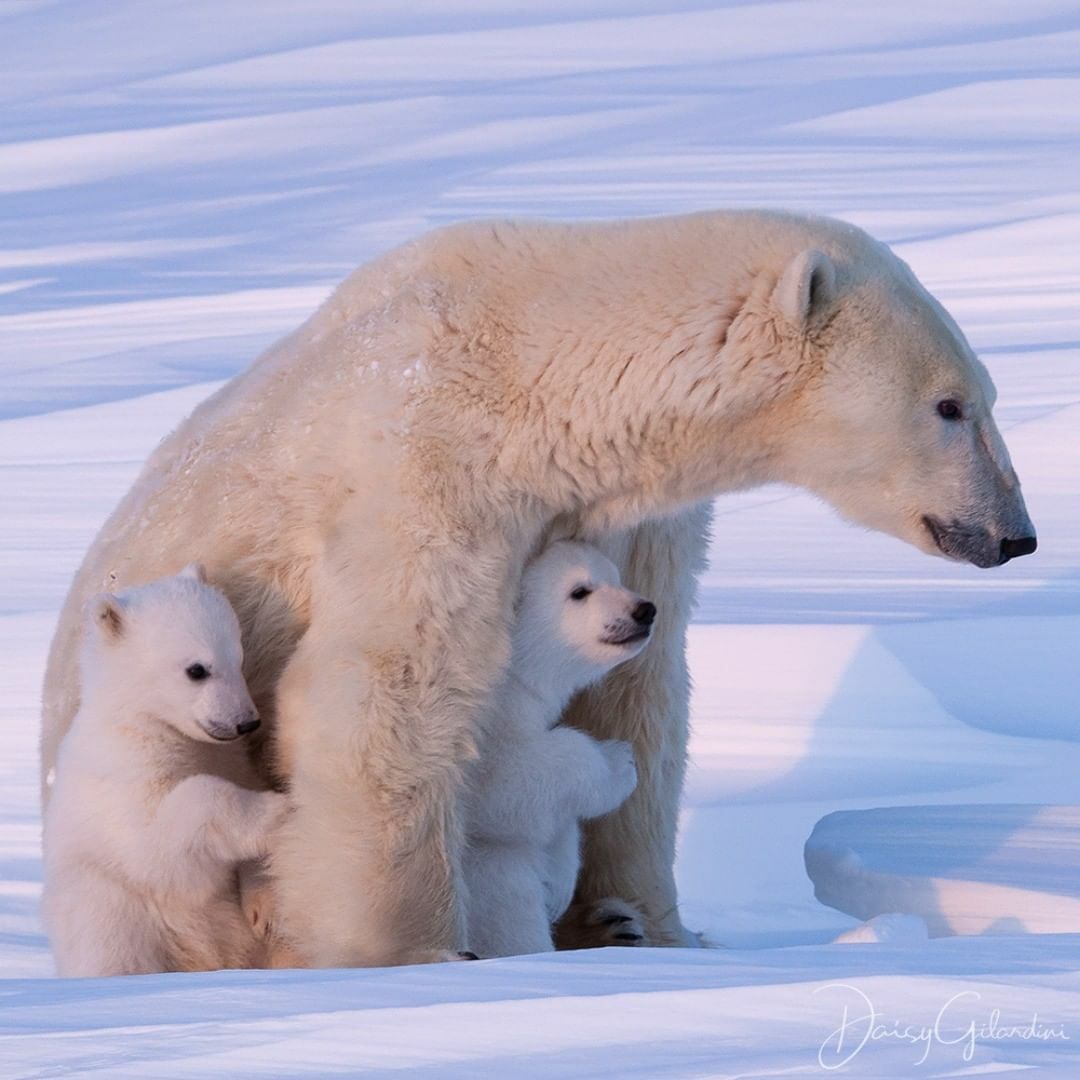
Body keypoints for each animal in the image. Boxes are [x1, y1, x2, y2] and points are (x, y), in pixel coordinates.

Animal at [39, 208, 1036, 963]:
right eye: (951, 406)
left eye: (986, 395)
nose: (1015, 535)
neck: (542, 372)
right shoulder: (426, 471)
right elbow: (381, 694)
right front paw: (413, 953)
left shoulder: (634, 519)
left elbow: (639, 692)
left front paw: (646, 921)